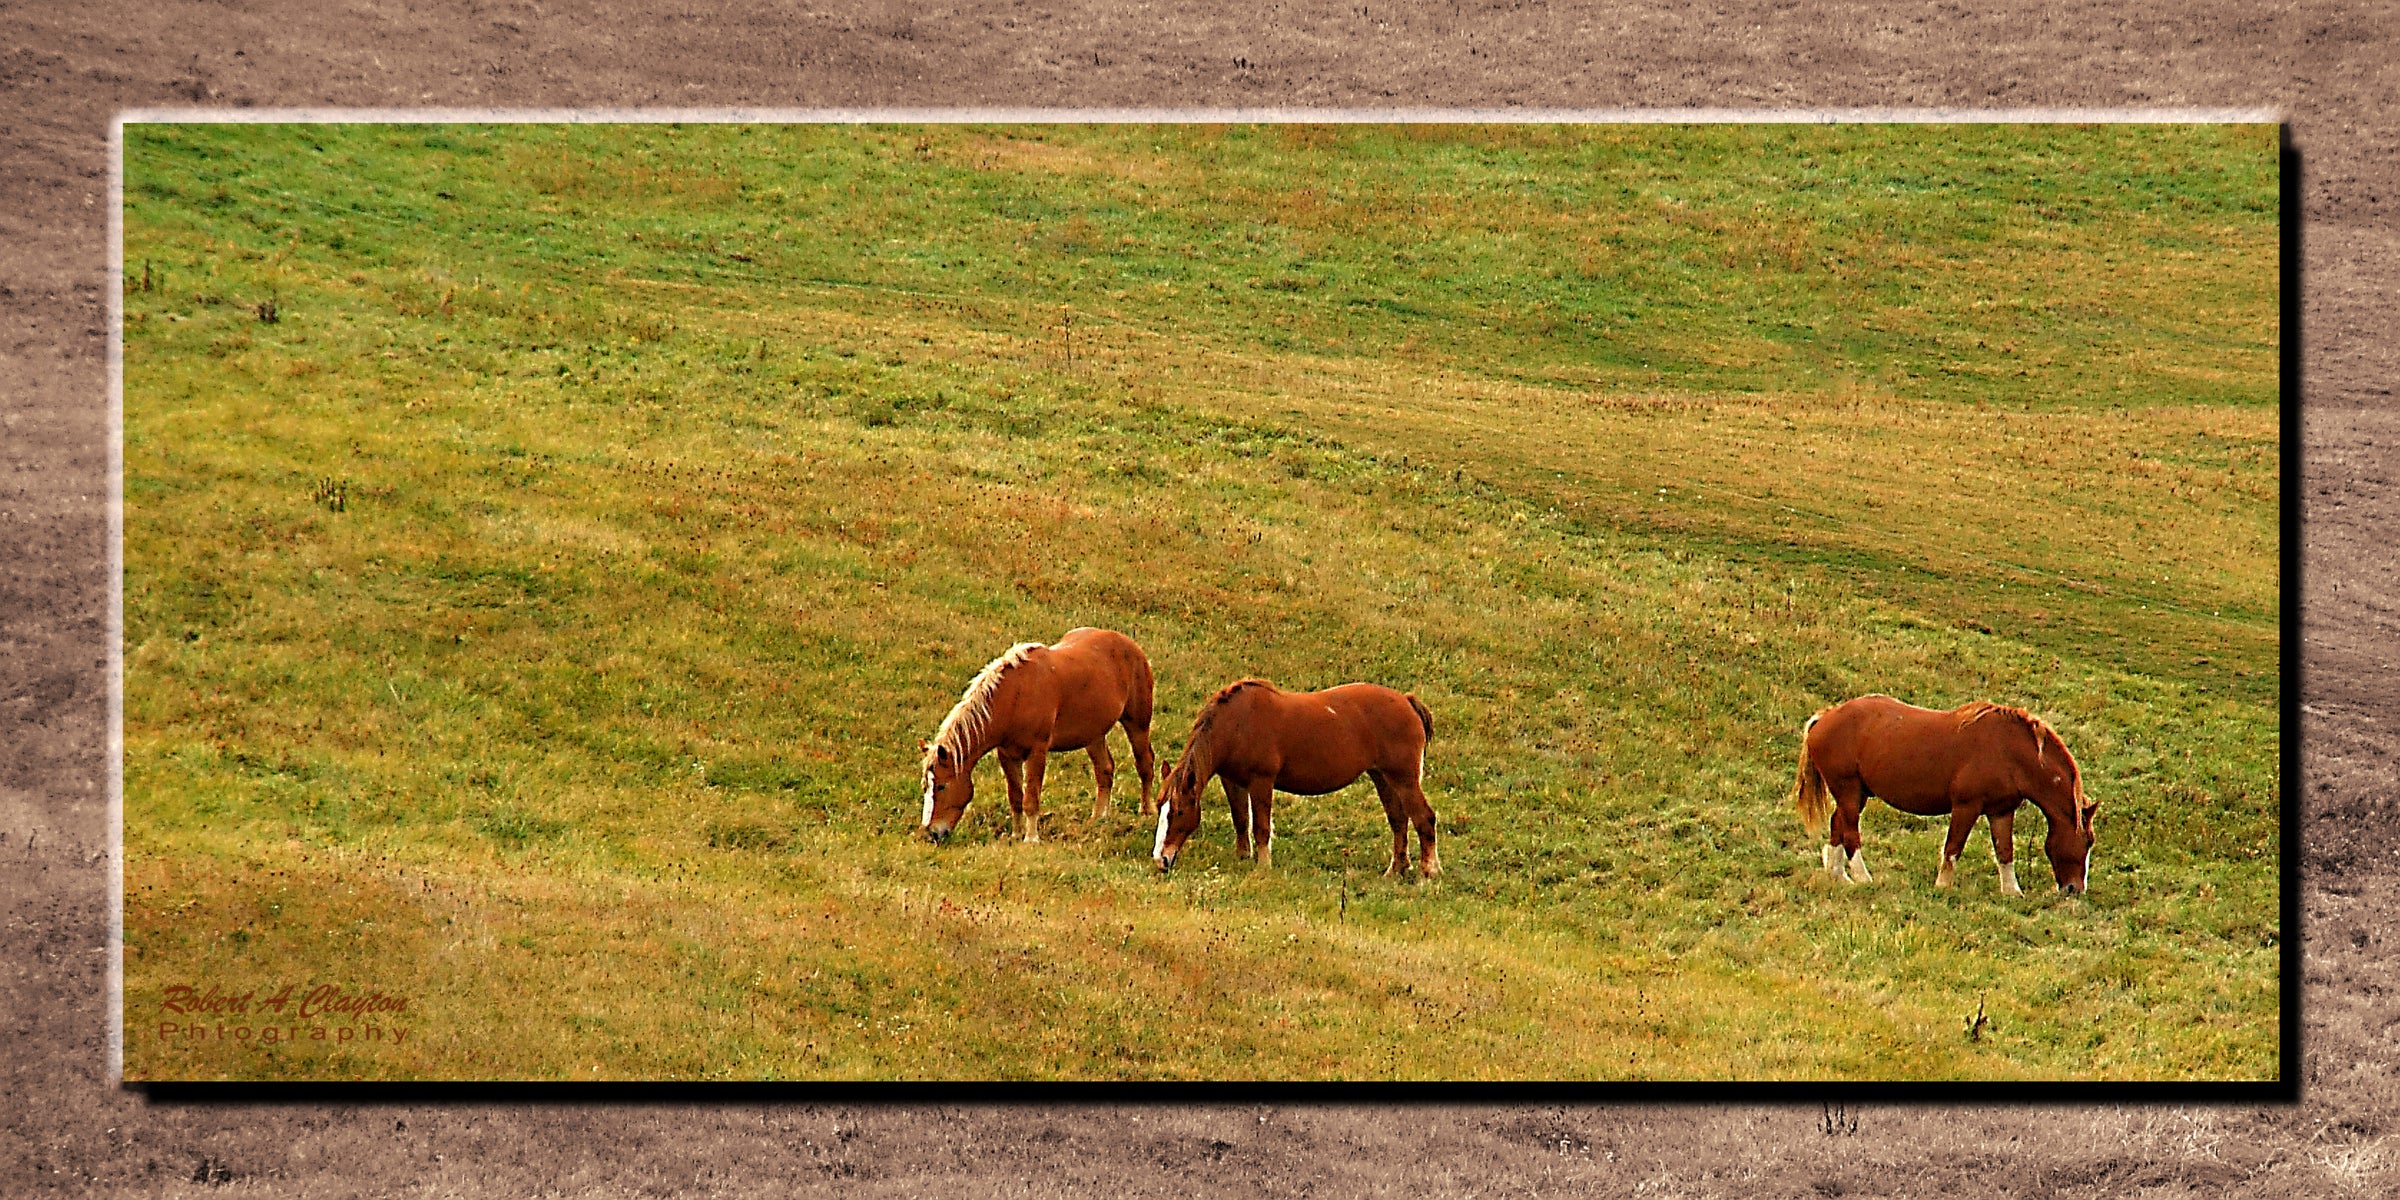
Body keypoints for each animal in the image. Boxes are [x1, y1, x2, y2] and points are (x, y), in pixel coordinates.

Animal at [918, 628, 1157, 844]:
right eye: (925, 786)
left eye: (941, 786)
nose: (931, 833)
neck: (1014, 696)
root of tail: (1128, 643)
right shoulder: (1007, 755)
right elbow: (1015, 796)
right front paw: (1016, 835)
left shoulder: (1037, 752)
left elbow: (1031, 798)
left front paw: (1031, 838)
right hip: (1094, 734)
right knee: (1104, 770)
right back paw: (1099, 817)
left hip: (1137, 723)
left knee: (1144, 764)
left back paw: (1146, 810)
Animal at [1151, 679, 1438, 878]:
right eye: (1160, 807)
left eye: (1178, 811)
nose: (1160, 859)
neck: (1237, 723)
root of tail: (1407, 701)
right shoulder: (1231, 781)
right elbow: (1241, 820)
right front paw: (1243, 858)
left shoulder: (1261, 781)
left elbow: (1261, 827)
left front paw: (1263, 866)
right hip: (1383, 778)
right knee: (1398, 821)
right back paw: (1396, 869)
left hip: (1404, 779)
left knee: (1424, 818)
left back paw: (1429, 872)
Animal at [1792, 694, 2098, 895]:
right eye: (2087, 841)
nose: (2075, 889)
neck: (2010, 752)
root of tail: (1825, 717)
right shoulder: (1966, 807)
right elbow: (1953, 847)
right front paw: (1943, 885)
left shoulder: (2000, 811)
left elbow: (2005, 851)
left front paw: (2012, 891)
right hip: (1849, 791)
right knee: (1851, 833)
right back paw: (1863, 877)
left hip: (1856, 794)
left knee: (1837, 825)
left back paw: (1839, 876)